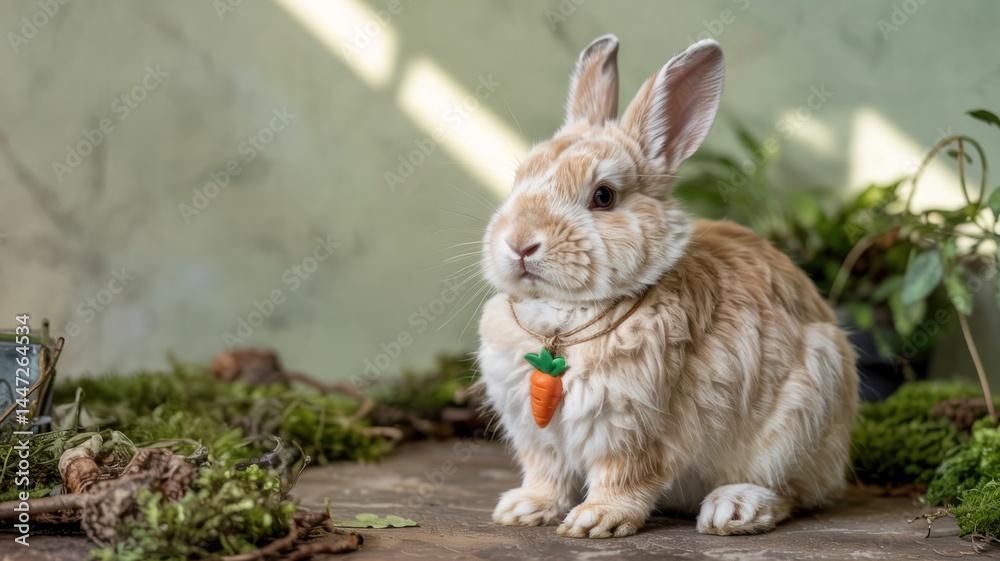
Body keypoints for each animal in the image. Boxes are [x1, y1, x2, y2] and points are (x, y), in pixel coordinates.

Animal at [476, 35, 857, 539]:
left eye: (603, 196)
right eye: (520, 179)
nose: (519, 243)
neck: (561, 322)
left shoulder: (635, 428)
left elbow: (624, 477)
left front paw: (596, 520)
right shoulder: (539, 437)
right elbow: (547, 474)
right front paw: (523, 509)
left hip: (802, 413)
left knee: (792, 493)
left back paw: (732, 509)